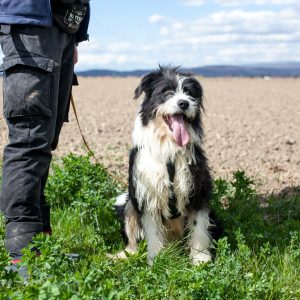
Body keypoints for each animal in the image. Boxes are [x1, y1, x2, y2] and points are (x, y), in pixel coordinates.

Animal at [113, 65, 216, 264]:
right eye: (167, 92)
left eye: (189, 93)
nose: (184, 103)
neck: (169, 147)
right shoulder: (148, 193)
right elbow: (152, 232)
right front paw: (156, 260)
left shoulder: (198, 190)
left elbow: (198, 226)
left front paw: (200, 258)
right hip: (130, 205)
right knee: (132, 238)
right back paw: (126, 255)